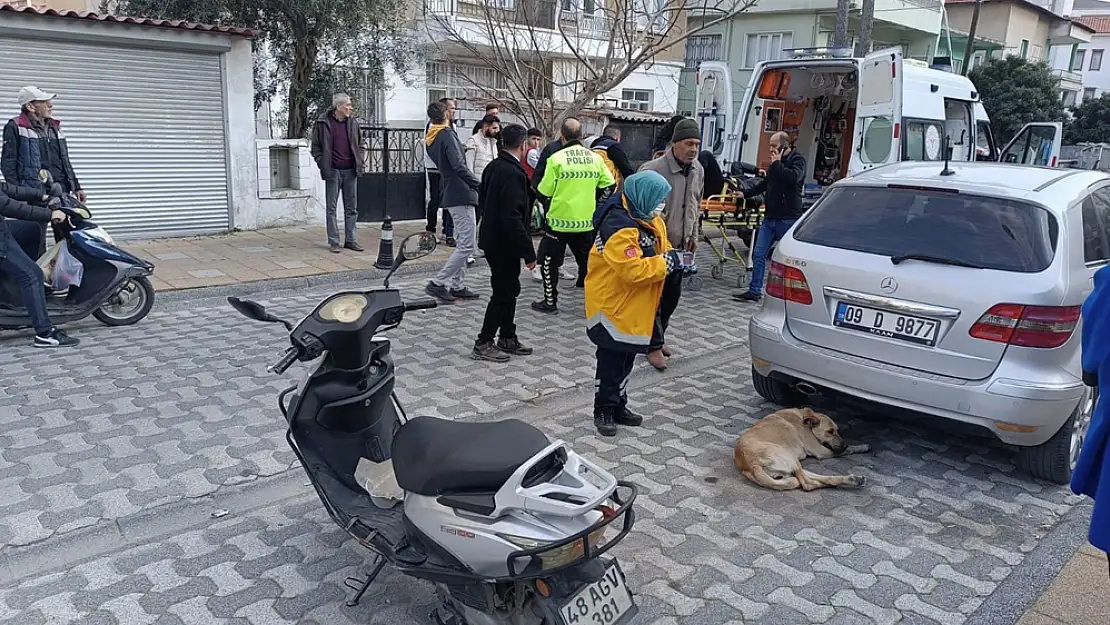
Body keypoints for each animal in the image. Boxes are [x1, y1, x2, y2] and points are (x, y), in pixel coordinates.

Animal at [732, 408, 870, 490]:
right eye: (830, 432)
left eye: (837, 430)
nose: (844, 445)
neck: (803, 417)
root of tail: (752, 464)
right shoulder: (821, 451)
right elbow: (849, 450)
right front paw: (861, 447)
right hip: (791, 459)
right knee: (807, 484)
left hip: (790, 466)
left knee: (818, 478)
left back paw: (854, 480)